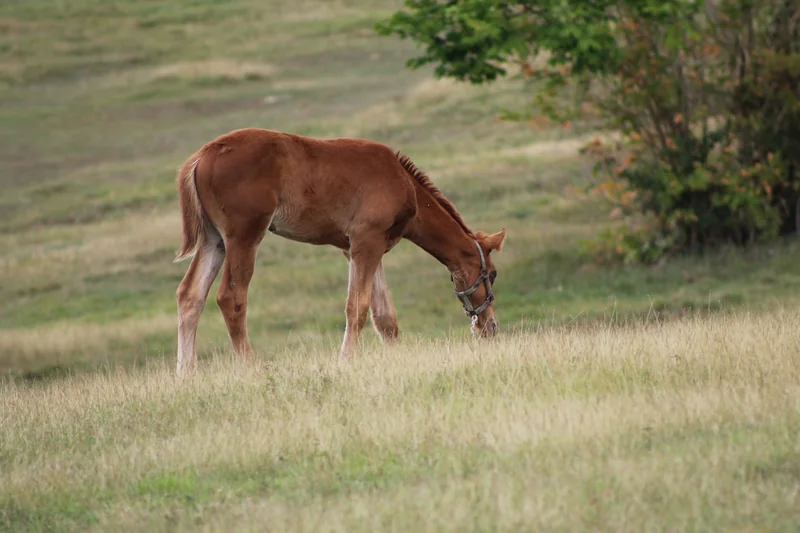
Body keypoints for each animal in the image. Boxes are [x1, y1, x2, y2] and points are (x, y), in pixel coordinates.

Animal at [174, 127, 504, 374]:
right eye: (493, 274)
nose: (491, 326)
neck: (403, 183)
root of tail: (202, 156)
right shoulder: (365, 242)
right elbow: (357, 307)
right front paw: (345, 362)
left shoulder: (365, 247)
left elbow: (385, 317)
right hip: (243, 234)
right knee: (231, 297)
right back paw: (250, 369)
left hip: (213, 239)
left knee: (190, 295)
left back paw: (186, 375)